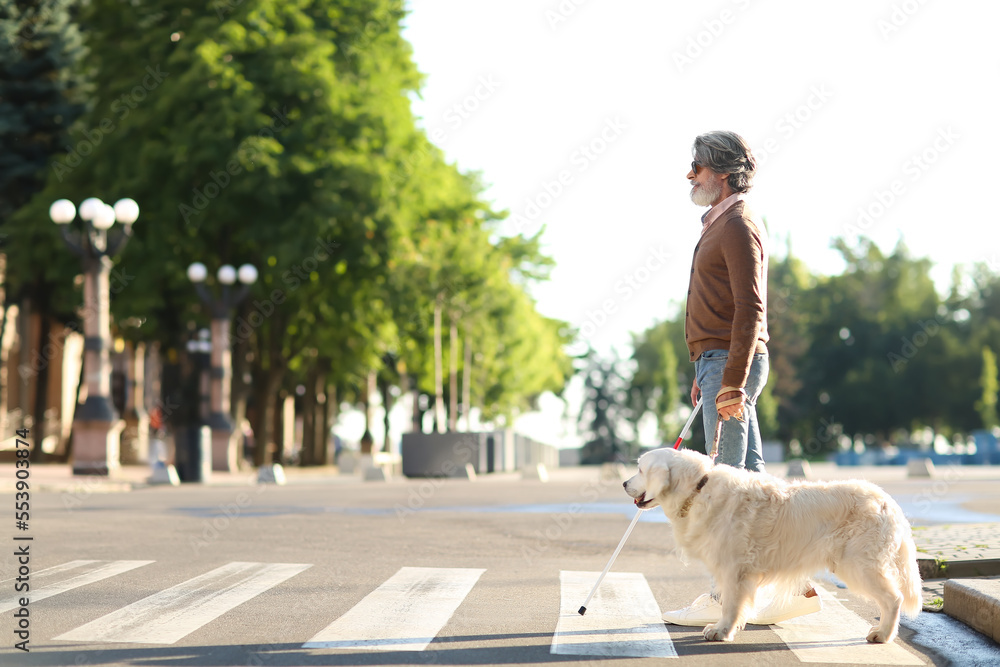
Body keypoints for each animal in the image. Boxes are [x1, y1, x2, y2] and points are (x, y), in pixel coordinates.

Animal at [624, 448, 920, 640]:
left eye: (640, 469)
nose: (625, 483)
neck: (699, 488)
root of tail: (887, 500)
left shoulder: (734, 568)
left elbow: (730, 604)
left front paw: (721, 630)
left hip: (858, 565)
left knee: (893, 598)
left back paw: (883, 634)